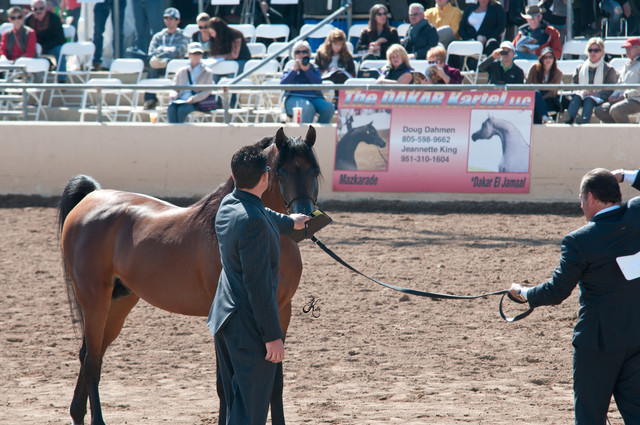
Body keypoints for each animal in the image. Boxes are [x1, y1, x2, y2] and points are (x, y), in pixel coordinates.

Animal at [58, 126, 320, 425]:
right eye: (282, 172)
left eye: (313, 170)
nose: (306, 217)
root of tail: (91, 198)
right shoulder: (224, 318)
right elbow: (225, 383)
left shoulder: (280, 312)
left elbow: (275, 381)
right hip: (95, 301)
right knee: (92, 361)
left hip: (119, 302)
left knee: (90, 354)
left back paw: (77, 414)